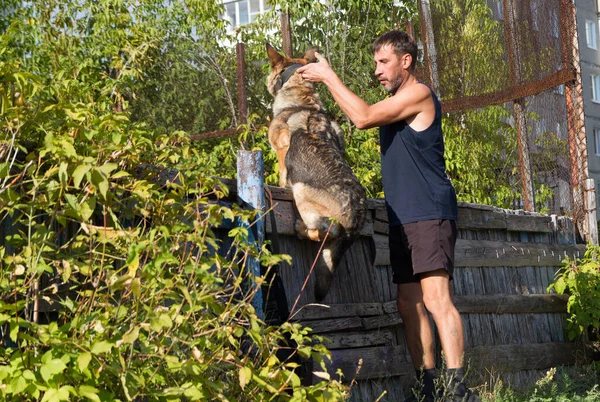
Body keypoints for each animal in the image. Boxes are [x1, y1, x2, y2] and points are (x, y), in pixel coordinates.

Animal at [268, 44, 370, 302]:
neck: (303, 101)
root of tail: (355, 219)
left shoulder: (281, 149)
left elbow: (282, 175)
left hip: (302, 190)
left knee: (323, 231)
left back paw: (302, 229)